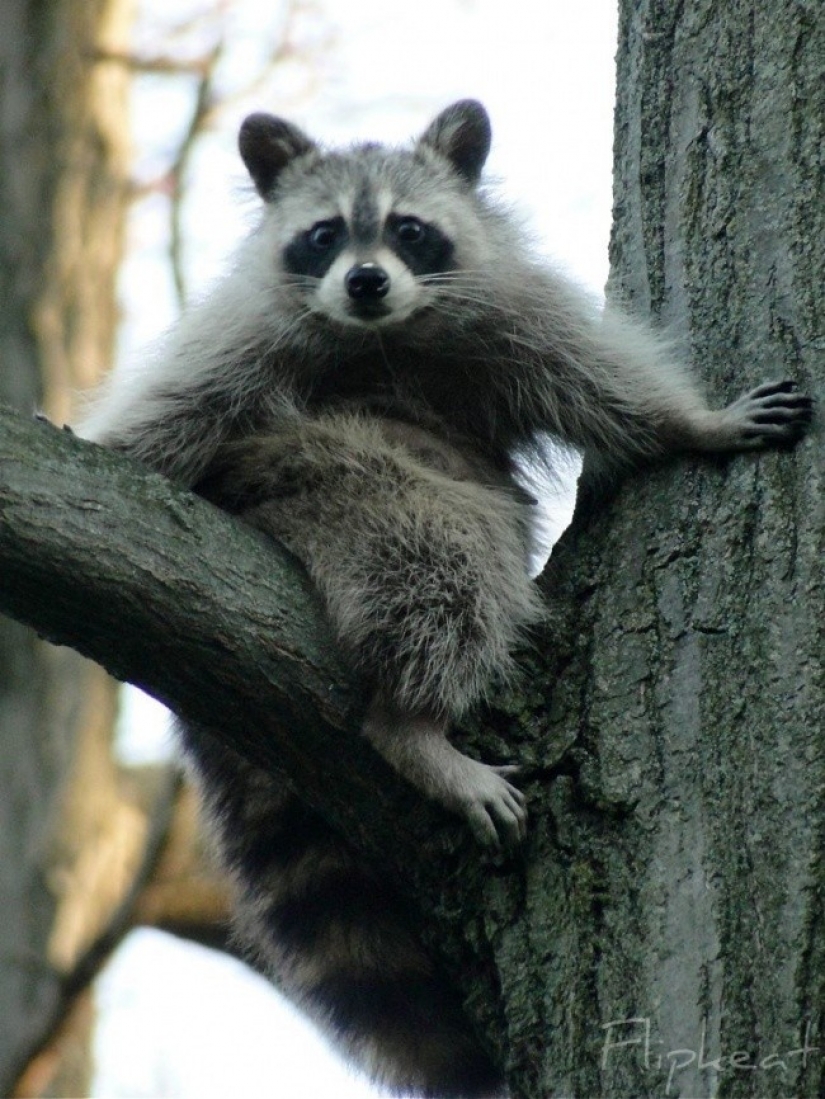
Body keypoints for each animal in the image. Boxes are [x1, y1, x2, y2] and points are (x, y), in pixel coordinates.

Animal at [80, 100, 812, 1097]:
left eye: (408, 230)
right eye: (323, 235)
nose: (363, 281)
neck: (379, 335)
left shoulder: (506, 310)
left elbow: (599, 384)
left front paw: (689, 424)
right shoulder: (242, 335)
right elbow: (158, 417)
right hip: (327, 479)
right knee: (442, 558)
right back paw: (410, 724)